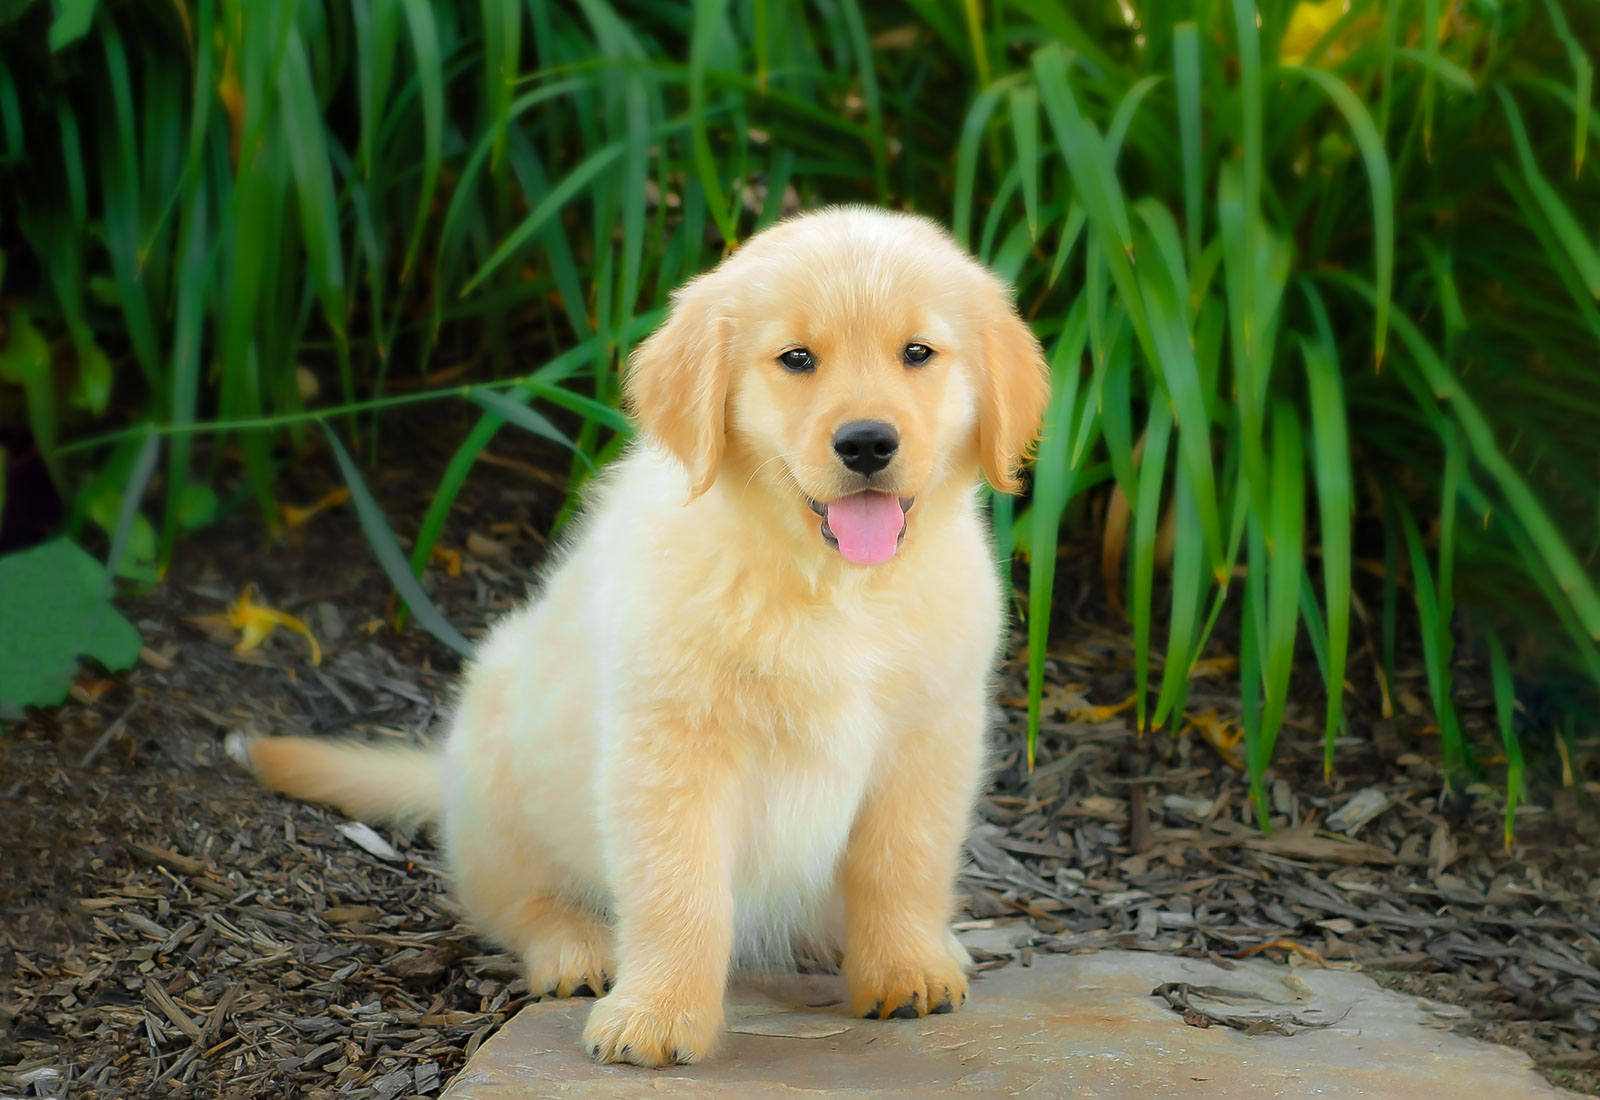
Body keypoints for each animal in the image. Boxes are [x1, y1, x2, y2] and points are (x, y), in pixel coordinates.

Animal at [243, 206, 1049, 1068]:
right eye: (796, 358)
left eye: (918, 353)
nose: (867, 443)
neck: (831, 587)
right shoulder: (672, 746)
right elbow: (679, 890)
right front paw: (658, 1015)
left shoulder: (930, 736)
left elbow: (903, 864)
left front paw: (904, 966)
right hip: (501, 766)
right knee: (517, 903)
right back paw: (575, 949)